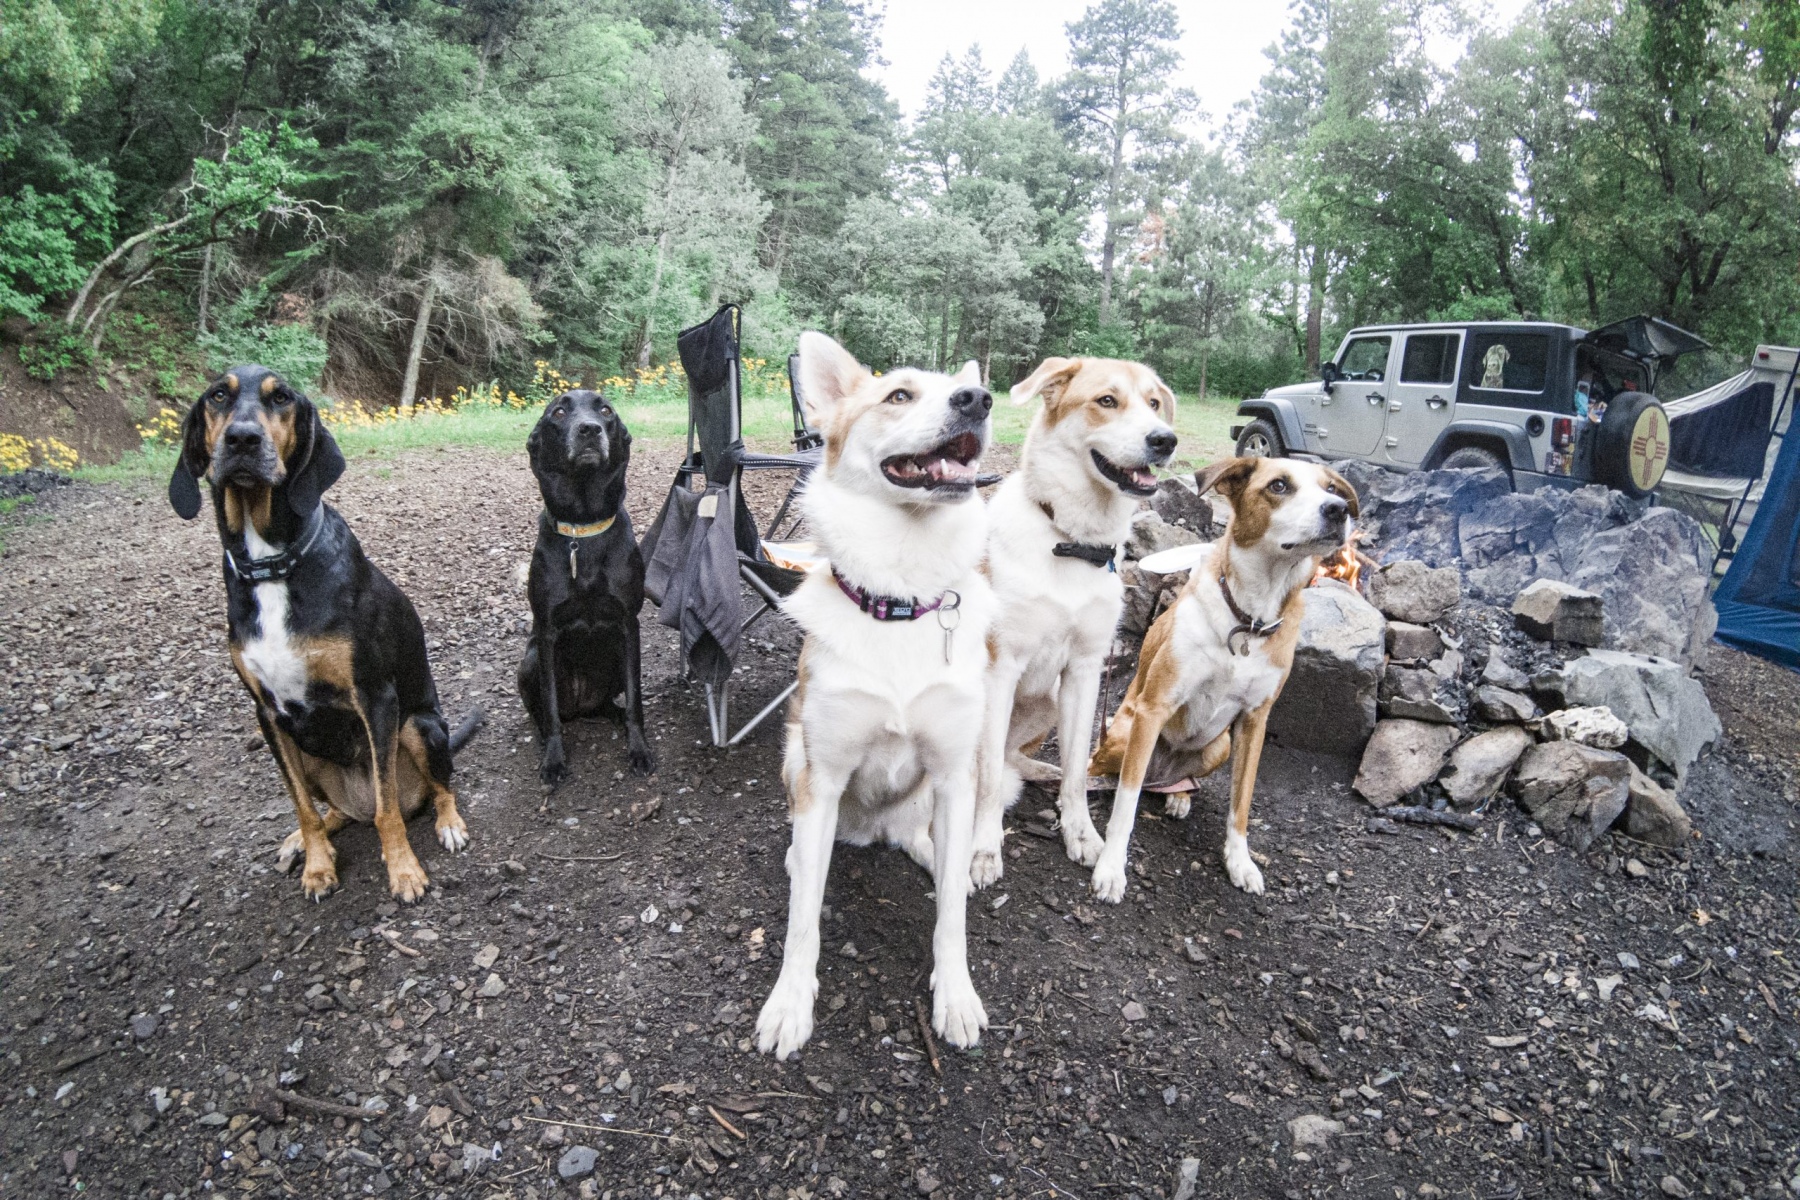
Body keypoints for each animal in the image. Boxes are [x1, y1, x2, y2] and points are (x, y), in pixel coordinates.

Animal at [167, 366, 480, 902]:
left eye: (282, 398)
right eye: (218, 395)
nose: (242, 439)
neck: (273, 564)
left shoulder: (376, 697)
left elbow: (388, 810)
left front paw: (404, 871)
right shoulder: (268, 716)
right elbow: (300, 806)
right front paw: (316, 865)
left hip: (418, 727)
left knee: (428, 792)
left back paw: (448, 823)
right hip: (309, 753)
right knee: (330, 812)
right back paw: (304, 842)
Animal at [517, 389, 655, 784]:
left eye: (605, 410)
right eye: (559, 412)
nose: (590, 430)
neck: (583, 529)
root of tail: (581, 707)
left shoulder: (628, 626)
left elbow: (636, 702)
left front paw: (638, 749)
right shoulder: (546, 632)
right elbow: (549, 707)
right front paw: (553, 760)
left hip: (617, 661)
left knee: (612, 702)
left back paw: (614, 715)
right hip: (528, 662)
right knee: (544, 713)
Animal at [754, 331, 996, 1060]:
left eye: (967, 391)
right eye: (898, 395)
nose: (978, 399)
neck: (901, 597)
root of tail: (869, 833)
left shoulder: (953, 774)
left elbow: (951, 918)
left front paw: (955, 995)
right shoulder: (823, 774)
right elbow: (802, 924)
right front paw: (789, 1004)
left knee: (929, 848)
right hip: (795, 760)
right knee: (809, 854)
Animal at [970, 356, 1176, 888]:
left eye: (1153, 403)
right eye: (1106, 401)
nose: (1165, 440)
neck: (1071, 540)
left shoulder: (1084, 671)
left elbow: (1079, 772)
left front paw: (1081, 834)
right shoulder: (1000, 669)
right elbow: (985, 780)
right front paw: (983, 849)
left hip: (1048, 700)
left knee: (1017, 755)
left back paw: (1044, 772)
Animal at [1084, 457, 1357, 902]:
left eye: (1331, 488)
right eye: (1278, 485)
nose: (1338, 509)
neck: (1251, 618)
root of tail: (1162, 773)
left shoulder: (1253, 722)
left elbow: (1241, 803)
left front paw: (1239, 862)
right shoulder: (1155, 707)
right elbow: (1126, 802)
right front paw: (1111, 867)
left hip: (1219, 746)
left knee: (1178, 782)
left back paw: (1179, 797)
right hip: (1124, 732)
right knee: (1113, 770)